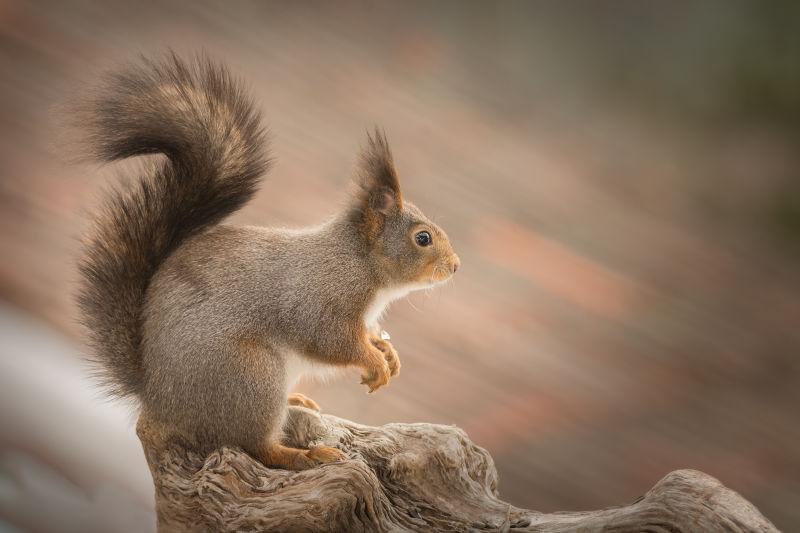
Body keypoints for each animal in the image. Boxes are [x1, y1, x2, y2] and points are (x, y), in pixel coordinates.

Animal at [76, 55, 462, 470]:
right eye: (422, 238)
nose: (456, 265)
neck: (361, 263)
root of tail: (158, 398)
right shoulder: (322, 300)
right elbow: (333, 341)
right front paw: (374, 361)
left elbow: (367, 334)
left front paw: (388, 353)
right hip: (251, 375)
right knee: (257, 446)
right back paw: (306, 455)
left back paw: (298, 401)